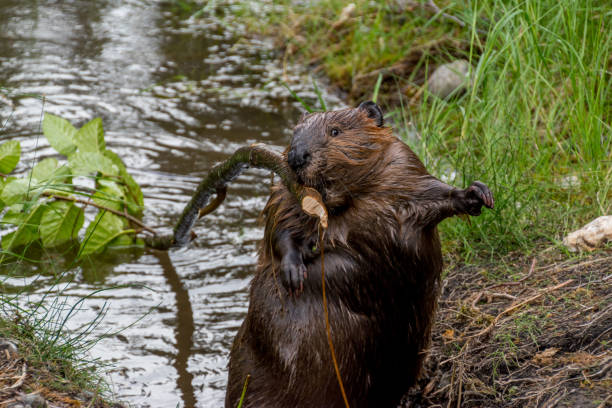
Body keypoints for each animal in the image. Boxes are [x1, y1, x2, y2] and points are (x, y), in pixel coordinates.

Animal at [225, 102, 492, 408]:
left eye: (335, 131)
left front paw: (477, 194)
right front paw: (293, 273)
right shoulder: (286, 190)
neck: (351, 201)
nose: (296, 156)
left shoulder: (403, 169)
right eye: (294, 134)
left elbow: (434, 193)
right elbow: (281, 219)